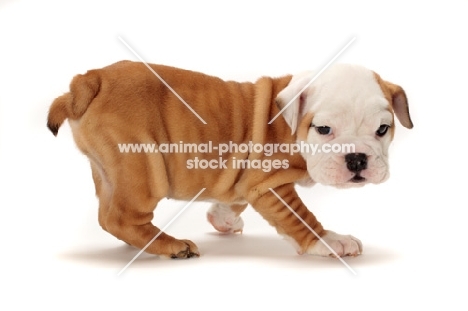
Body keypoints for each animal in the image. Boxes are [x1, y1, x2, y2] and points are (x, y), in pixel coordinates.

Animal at [48, 61, 414, 258]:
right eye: (324, 129)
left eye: (383, 130)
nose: (357, 159)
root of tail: (90, 79)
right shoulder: (269, 184)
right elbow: (301, 217)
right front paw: (330, 241)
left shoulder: (245, 181)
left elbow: (233, 198)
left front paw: (222, 218)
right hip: (144, 167)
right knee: (120, 218)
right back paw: (171, 245)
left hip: (109, 168)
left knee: (109, 214)